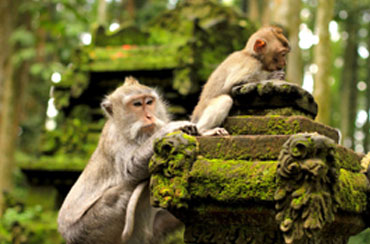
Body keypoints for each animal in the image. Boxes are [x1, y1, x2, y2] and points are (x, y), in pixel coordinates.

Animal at [57, 76, 197, 244]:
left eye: (149, 102)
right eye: (137, 104)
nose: (149, 116)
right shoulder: (115, 140)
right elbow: (131, 170)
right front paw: (171, 128)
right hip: (86, 230)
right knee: (120, 193)